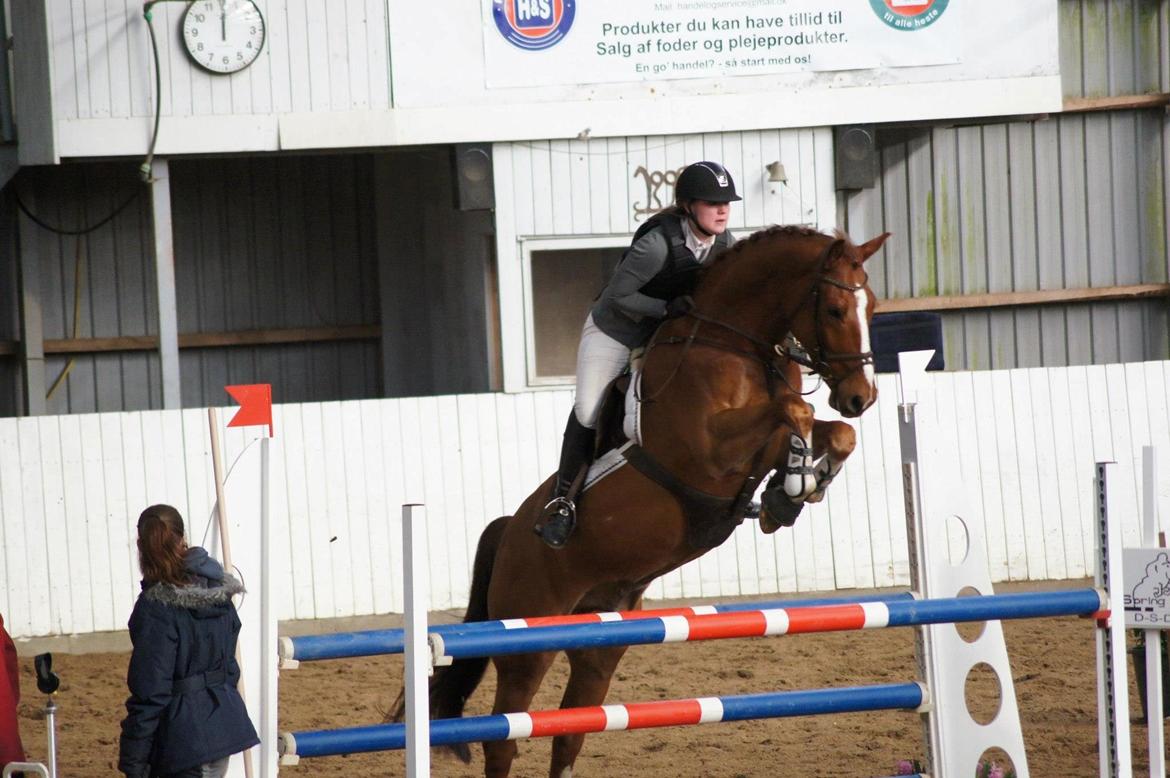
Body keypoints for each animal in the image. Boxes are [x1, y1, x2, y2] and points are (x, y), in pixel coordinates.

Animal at [411, 224, 884, 776]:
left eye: (872, 307)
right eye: (834, 309)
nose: (861, 397)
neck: (733, 342)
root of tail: (509, 532)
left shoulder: (756, 445)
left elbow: (833, 431)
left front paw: (792, 491)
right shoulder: (709, 455)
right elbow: (797, 412)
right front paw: (792, 488)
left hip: (600, 644)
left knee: (570, 733)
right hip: (527, 642)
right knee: (505, 737)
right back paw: (558, 520)